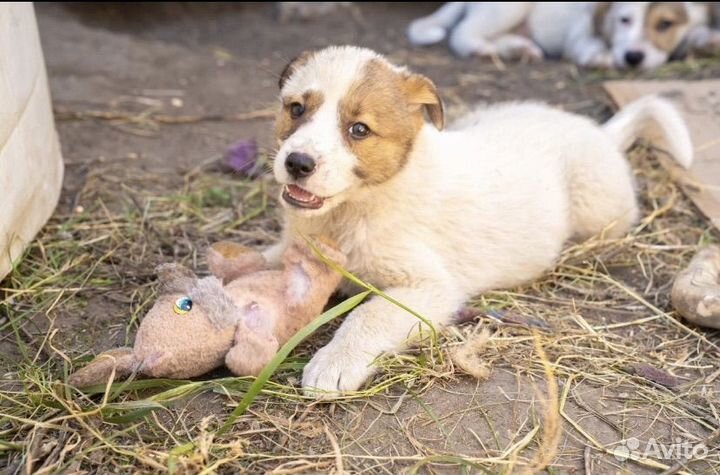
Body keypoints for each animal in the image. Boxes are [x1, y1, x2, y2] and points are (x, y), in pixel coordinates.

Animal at [268, 45, 696, 394]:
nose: (297, 163)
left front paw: (334, 363)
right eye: (296, 109)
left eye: (359, 129)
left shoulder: (429, 287)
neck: (352, 208)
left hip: (601, 210)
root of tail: (601, 133)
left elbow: (367, 315)